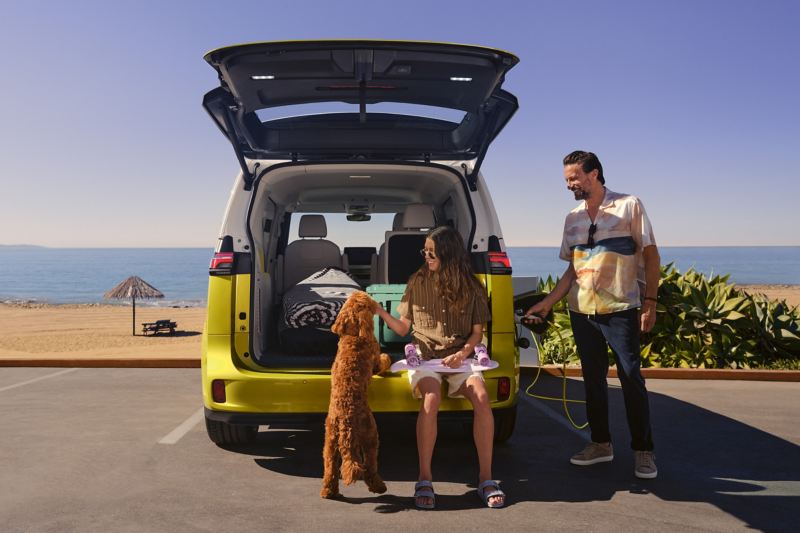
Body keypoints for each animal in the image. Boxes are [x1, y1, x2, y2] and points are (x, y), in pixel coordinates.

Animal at [320, 288, 392, 496]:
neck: (353, 335)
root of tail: (346, 424)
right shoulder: (376, 359)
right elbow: (383, 359)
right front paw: (387, 358)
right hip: (370, 433)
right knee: (369, 465)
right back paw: (378, 486)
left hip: (329, 442)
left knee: (330, 468)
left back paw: (328, 492)